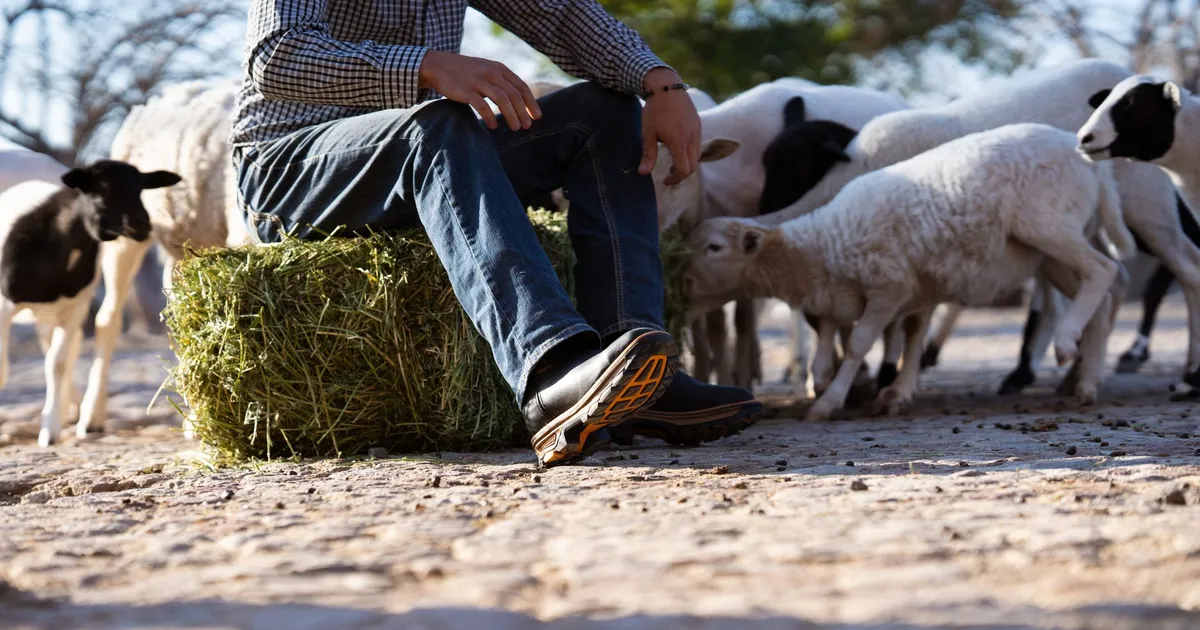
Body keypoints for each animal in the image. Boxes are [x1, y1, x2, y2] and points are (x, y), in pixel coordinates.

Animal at [0, 160, 180, 446]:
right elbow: (3, 370)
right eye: (101, 189)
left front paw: (50, 430)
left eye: (141, 188)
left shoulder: (75, 306)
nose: (142, 225)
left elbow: (58, 363)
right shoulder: (4, 305)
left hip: (55, 314)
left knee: (61, 351)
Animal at [75, 80, 250, 438]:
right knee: (108, 319)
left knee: (178, 316)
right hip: (125, 234)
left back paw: (193, 417)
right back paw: (91, 417)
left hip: (183, 246)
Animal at [684, 124, 1133, 420]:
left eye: (713, 248)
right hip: (1049, 252)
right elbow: (831, 333)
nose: (679, 282)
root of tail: (1085, 157)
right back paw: (1087, 382)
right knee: (1101, 296)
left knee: (1102, 269)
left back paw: (1066, 343)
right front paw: (826, 380)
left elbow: (861, 343)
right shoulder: (850, 294)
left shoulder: (889, 288)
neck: (823, 242)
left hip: (1047, 226)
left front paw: (830, 401)